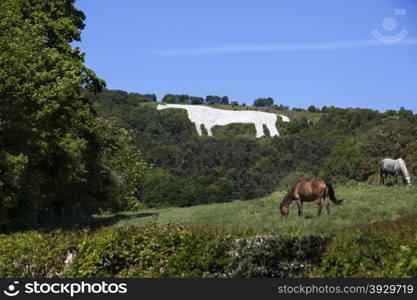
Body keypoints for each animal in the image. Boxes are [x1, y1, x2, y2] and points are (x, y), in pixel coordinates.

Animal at [156, 103, 290, 138]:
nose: (159, 106)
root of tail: (274, 114)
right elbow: (202, 129)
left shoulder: (207, 122)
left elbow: (206, 129)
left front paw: (209, 136)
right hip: (265, 123)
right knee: (270, 130)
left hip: (264, 122)